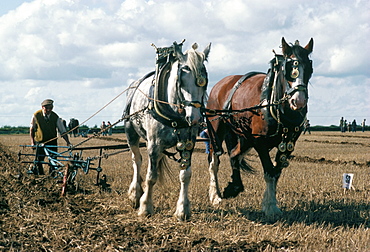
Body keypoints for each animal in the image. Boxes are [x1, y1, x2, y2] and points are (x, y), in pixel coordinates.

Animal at [124, 40, 211, 220]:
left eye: (205, 81)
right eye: (181, 80)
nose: (195, 119)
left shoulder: (188, 143)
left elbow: (185, 175)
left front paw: (183, 210)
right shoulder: (154, 144)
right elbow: (151, 177)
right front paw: (145, 207)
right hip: (131, 133)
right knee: (137, 160)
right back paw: (135, 193)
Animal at [207, 37, 314, 219]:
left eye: (309, 68)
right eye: (288, 68)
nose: (298, 101)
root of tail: (221, 84)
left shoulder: (287, 145)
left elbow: (276, 173)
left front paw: (269, 203)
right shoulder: (260, 142)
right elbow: (269, 172)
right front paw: (270, 207)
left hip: (244, 137)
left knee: (234, 155)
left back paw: (234, 187)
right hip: (217, 130)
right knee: (214, 160)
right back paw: (215, 196)